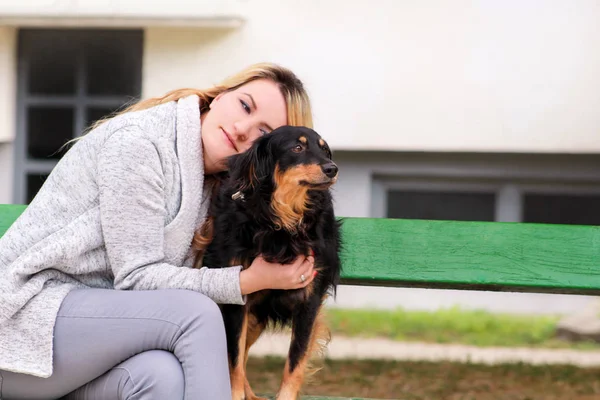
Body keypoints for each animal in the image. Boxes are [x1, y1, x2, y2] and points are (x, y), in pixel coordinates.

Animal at [195, 126, 340, 400]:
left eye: (325, 150)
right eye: (297, 148)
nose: (333, 168)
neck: (281, 221)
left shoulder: (309, 301)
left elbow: (295, 362)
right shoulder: (237, 299)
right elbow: (233, 360)